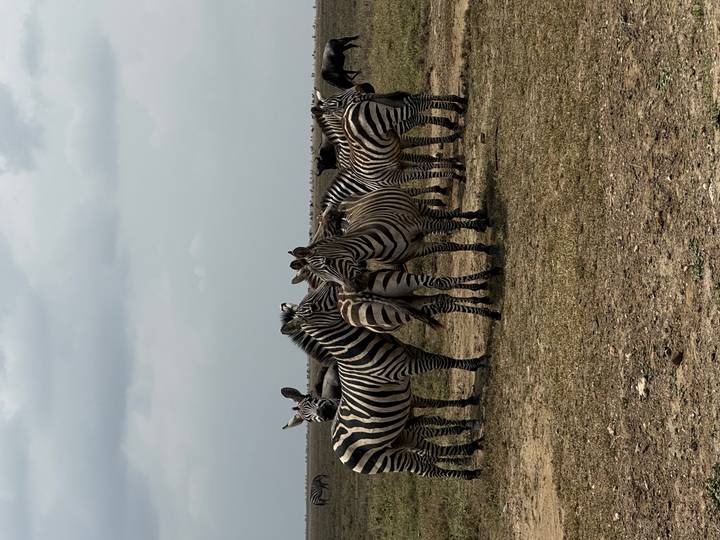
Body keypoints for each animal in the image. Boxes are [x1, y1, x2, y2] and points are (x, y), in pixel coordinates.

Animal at [280, 283, 486, 479]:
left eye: (314, 400)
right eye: (313, 307)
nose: (331, 282)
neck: (355, 350)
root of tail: (338, 449)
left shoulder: (411, 356)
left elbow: (435, 403)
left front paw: (468, 404)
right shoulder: (405, 367)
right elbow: (442, 362)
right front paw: (478, 363)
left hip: (397, 440)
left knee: (429, 456)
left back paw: (469, 451)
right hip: (387, 458)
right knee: (427, 468)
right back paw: (467, 470)